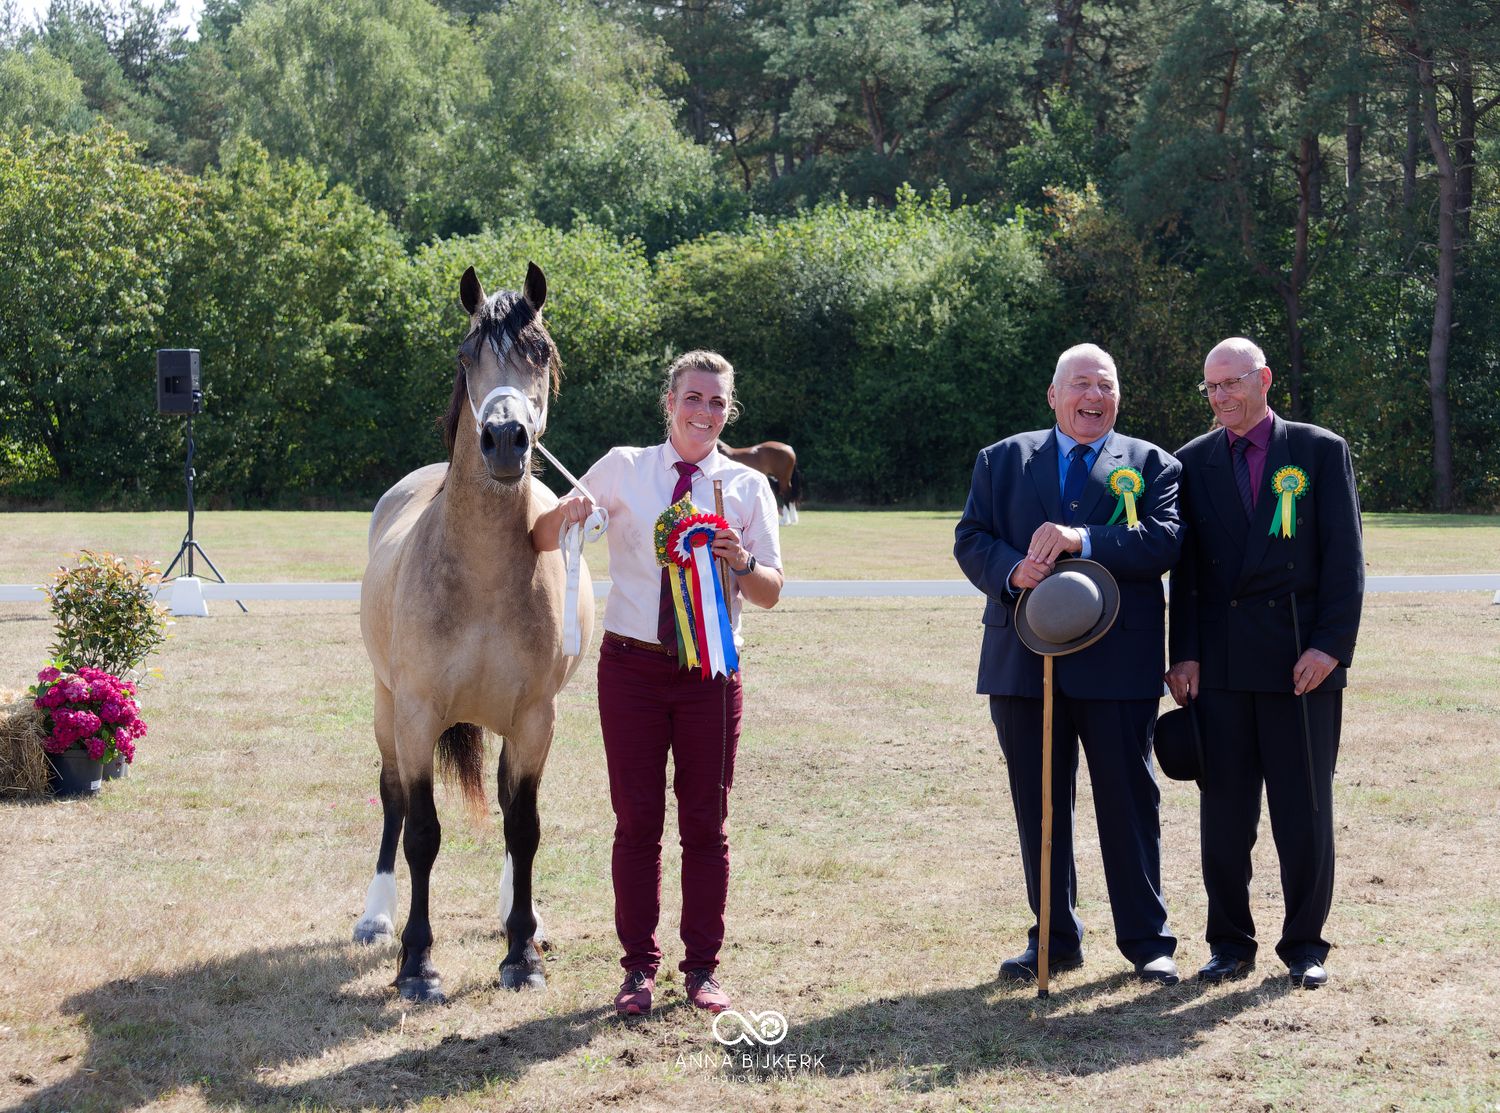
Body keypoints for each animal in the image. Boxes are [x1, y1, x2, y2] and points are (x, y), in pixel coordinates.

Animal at [352, 263, 594, 1002]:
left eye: (539, 352)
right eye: (466, 355)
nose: (506, 439)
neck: (482, 576)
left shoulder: (536, 716)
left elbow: (525, 825)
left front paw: (522, 953)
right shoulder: (415, 715)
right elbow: (421, 830)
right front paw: (417, 964)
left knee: (514, 811)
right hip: (384, 707)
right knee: (391, 801)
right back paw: (375, 915)